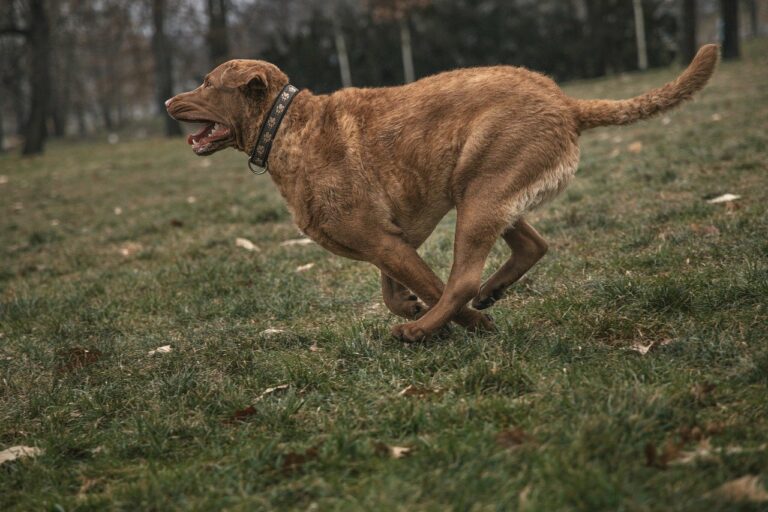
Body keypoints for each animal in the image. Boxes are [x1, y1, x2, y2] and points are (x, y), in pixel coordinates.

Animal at [165, 44, 716, 340]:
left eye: (207, 83)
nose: (169, 102)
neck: (285, 128)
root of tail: (567, 103)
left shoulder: (384, 241)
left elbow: (428, 285)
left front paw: (451, 323)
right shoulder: (390, 241)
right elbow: (392, 290)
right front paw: (415, 307)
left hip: (480, 195)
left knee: (463, 279)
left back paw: (423, 331)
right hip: (484, 190)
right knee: (532, 245)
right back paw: (488, 295)